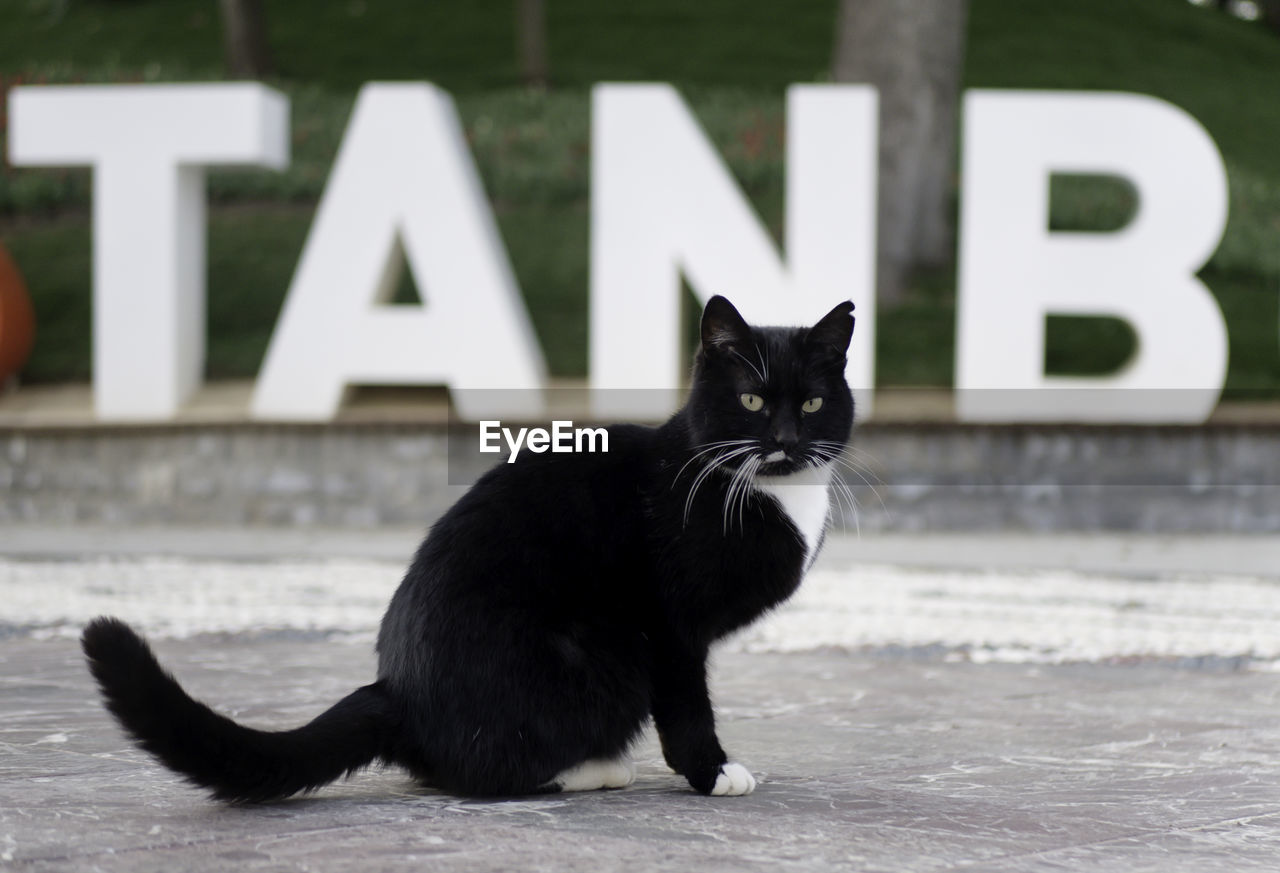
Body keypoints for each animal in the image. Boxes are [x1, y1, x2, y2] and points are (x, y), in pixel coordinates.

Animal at [85, 295, 855, 798]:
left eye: (814, 402)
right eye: (752, 400)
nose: (786, 439)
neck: (761, 489)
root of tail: (396, 690)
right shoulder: (667, 627)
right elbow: (688, 705)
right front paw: (712, 772)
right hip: (598, 651)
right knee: (483, 772)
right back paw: (588, 768)